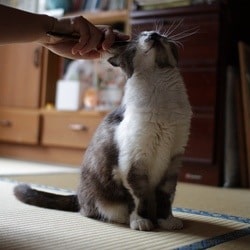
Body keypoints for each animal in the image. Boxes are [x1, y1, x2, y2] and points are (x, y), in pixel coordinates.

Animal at [14, 30, 192, 231]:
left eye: (159, 34)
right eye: (142, 36)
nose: (153, 34)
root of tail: (77, 194)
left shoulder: (173, 161)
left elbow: (166, 197)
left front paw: (167, 221)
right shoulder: (133, 164)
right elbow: (139, 198)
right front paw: (141, 221)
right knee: (94, 211)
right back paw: (124, 219)